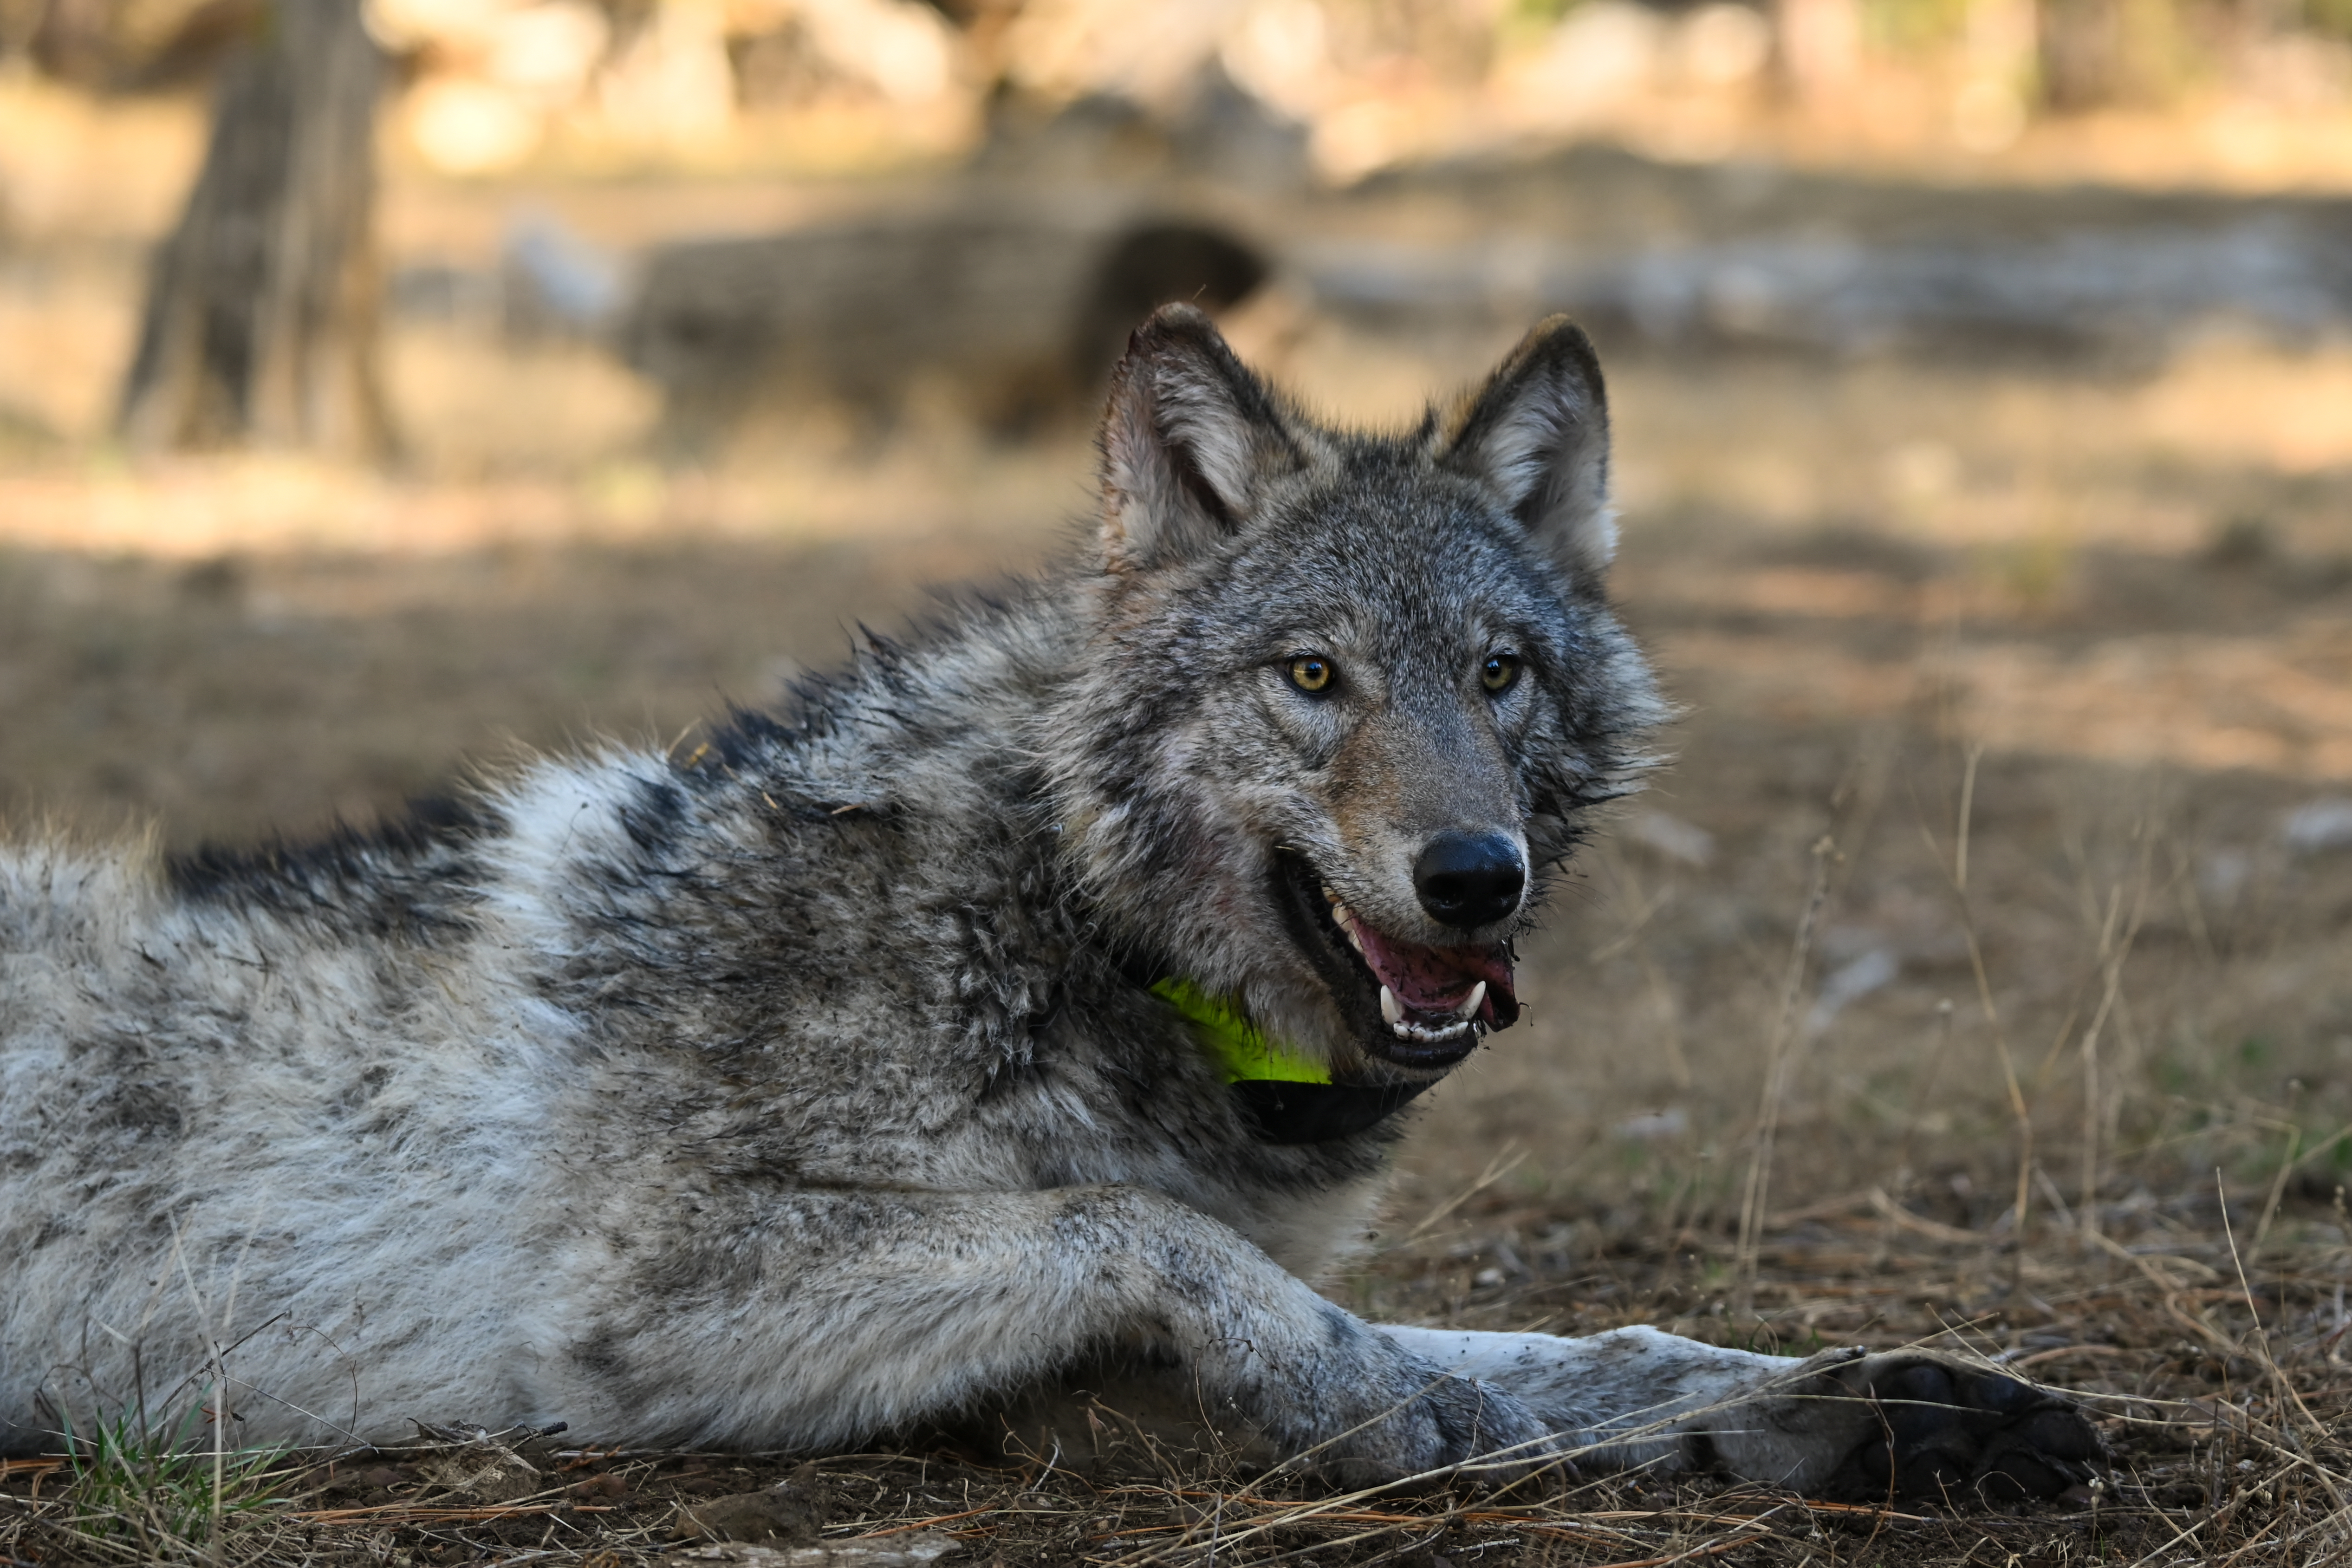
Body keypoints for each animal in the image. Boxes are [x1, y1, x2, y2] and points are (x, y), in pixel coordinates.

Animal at [0, 307, 2099, 1500]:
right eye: (1313, 677)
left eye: (1497, 675)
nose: (1474, 877)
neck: (1065, 919)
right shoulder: (643, 1303)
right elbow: (1163, 1245)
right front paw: (1354, 1398)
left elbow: (1606, 1360)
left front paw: (1886, 1407)